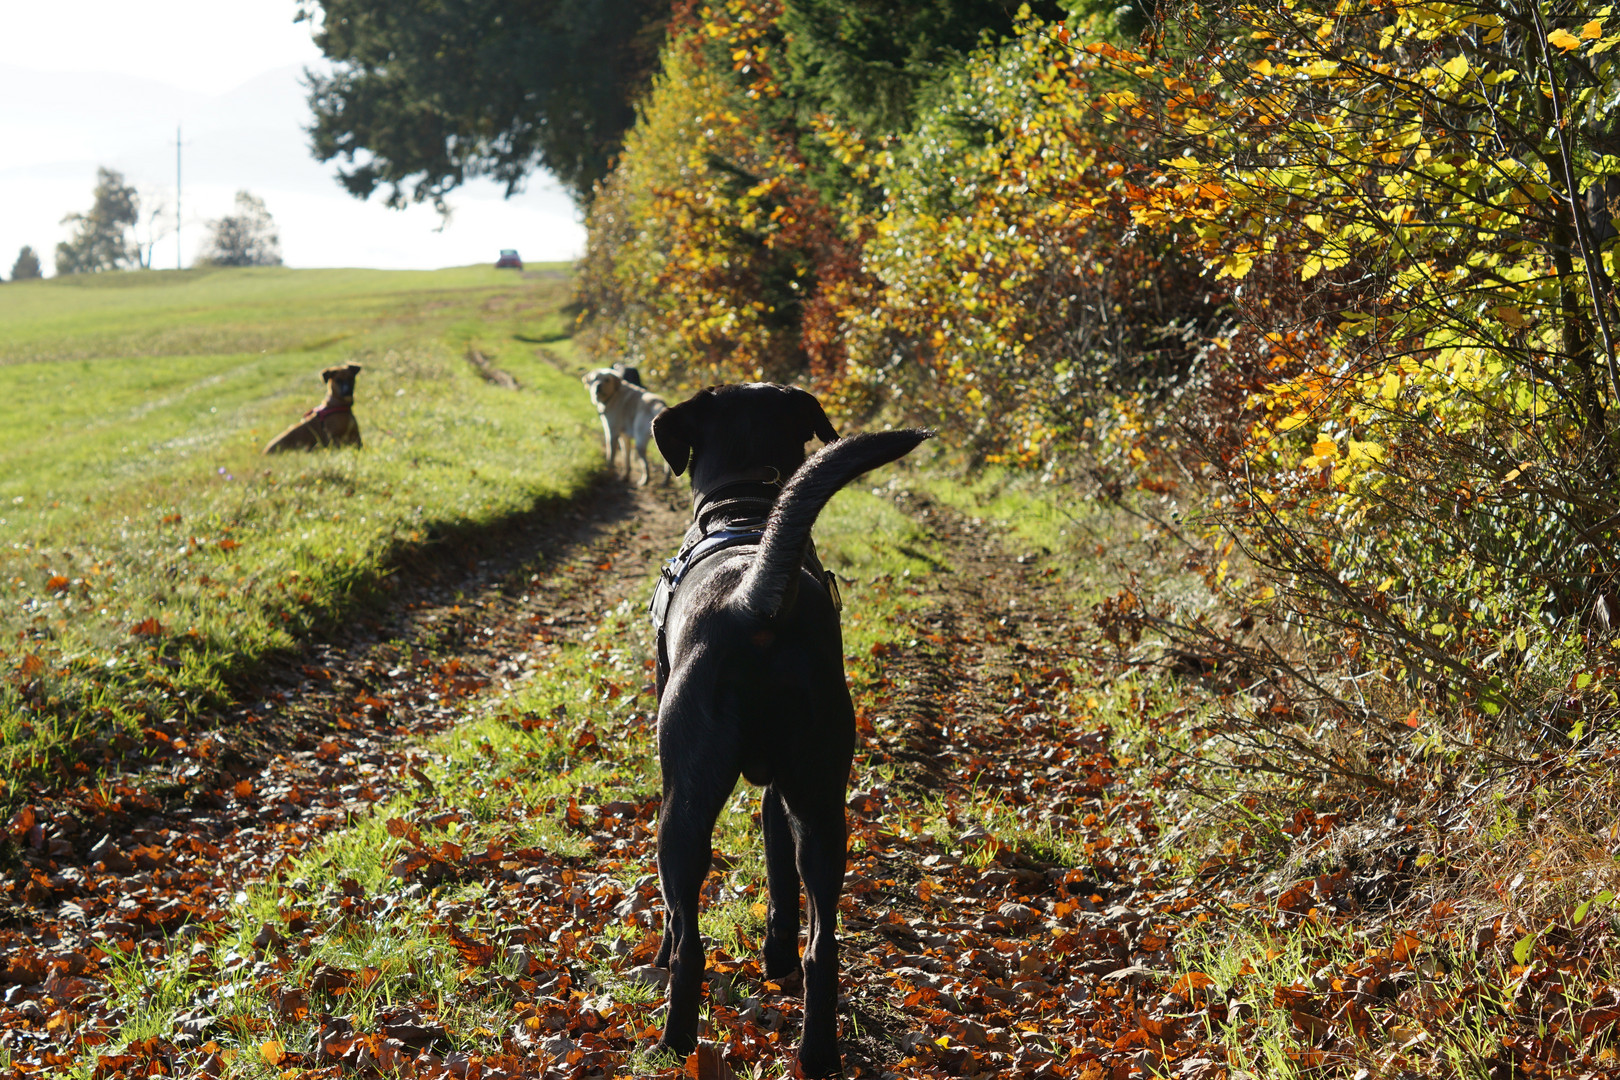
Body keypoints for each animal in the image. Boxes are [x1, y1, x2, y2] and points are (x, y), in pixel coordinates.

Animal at [641, 383, 926, 1075]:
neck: (747, 511)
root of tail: (754, 603)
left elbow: (677, 916)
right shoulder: (781, 793)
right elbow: (778, 879)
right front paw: (774, 958)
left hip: (682, 810)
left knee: (689, 937)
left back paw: (675, 1040)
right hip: (822, 802)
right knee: (824, 943)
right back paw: (817, 1050)